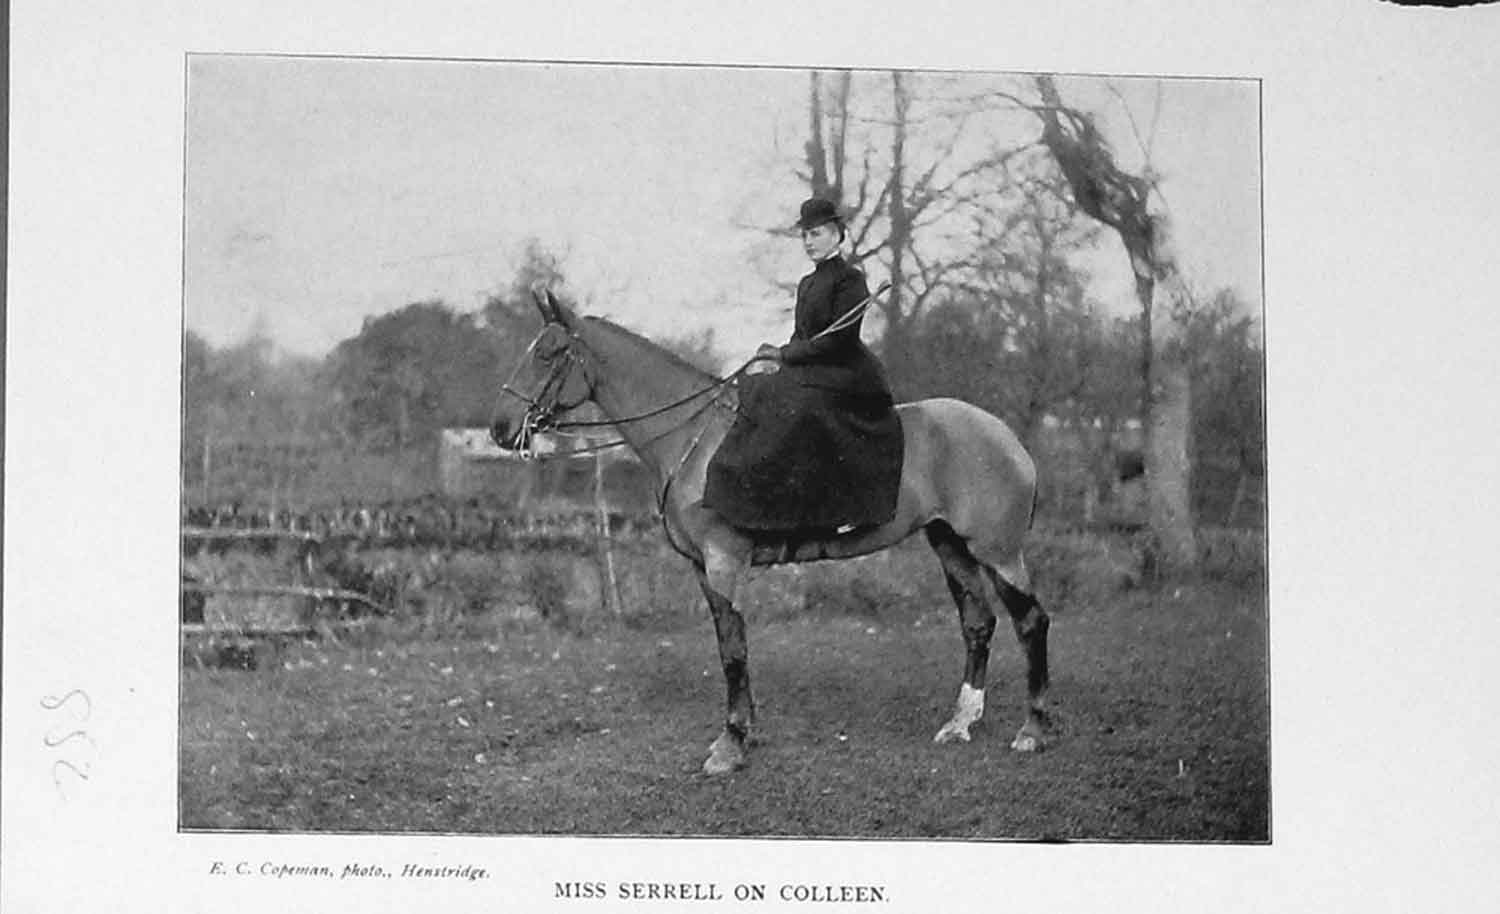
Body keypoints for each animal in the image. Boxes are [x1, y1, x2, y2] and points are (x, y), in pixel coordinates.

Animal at [490, 288, 1051, 775]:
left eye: (549, 354)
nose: (500, 427)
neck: (694, 441)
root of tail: (1007, 437)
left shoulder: (724, 562)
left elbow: (733, 651)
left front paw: (732, 744)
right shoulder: (703, 570)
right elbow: (729, 645)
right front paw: (743, 732)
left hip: (998, 552)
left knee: (1030, 622)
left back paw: (1033, 729)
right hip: (950, 545)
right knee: (978, 623)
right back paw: (961, 723)